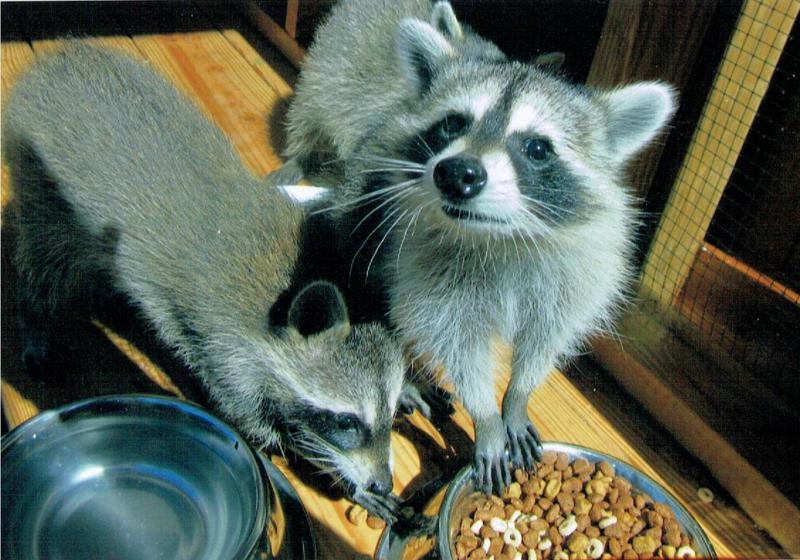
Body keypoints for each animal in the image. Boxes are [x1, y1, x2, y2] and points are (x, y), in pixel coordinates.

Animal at [3, 46, 405, 521]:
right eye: (347, 422)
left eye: (390, 416)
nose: (382, 481)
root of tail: (61, 58)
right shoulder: (227, 354)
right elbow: (258, 425)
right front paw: (333, 472)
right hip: (45, 191)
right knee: (43, 265)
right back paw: (33, 320)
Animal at [285, 0, 676, 492]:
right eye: (453, 123)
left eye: (537, 148)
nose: (457, 173)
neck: (499, 234)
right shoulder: (427, 269)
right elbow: (457, 341)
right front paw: (486, 415)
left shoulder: (577, 271)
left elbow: (547, 335)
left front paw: (518, 394)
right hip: (363, 209)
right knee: (368, 279)